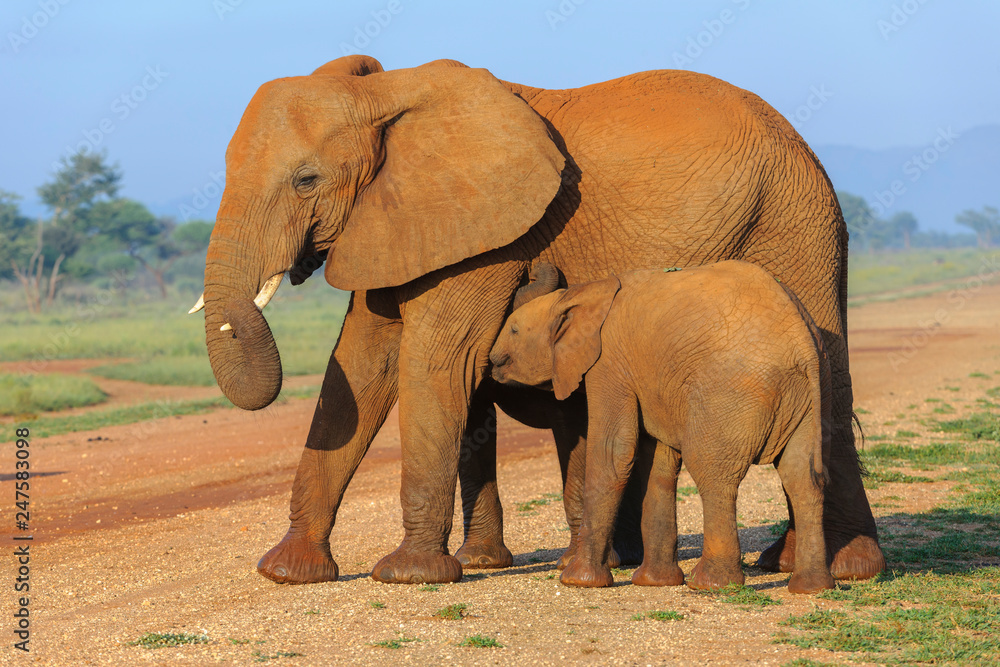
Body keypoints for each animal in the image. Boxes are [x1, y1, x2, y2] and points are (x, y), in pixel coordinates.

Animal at [489, 261, 837, 594]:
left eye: (514, 329)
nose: (492, 362)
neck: (581, 295)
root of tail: (803, 343)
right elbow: (657, 464)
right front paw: (654, 582)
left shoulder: (609, 363)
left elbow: (613, 453)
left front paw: (578, 581)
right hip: (812, 393)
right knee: (802, 478)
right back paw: (811, 587)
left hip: (730, 391)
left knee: (713, 473)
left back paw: (709, 585)